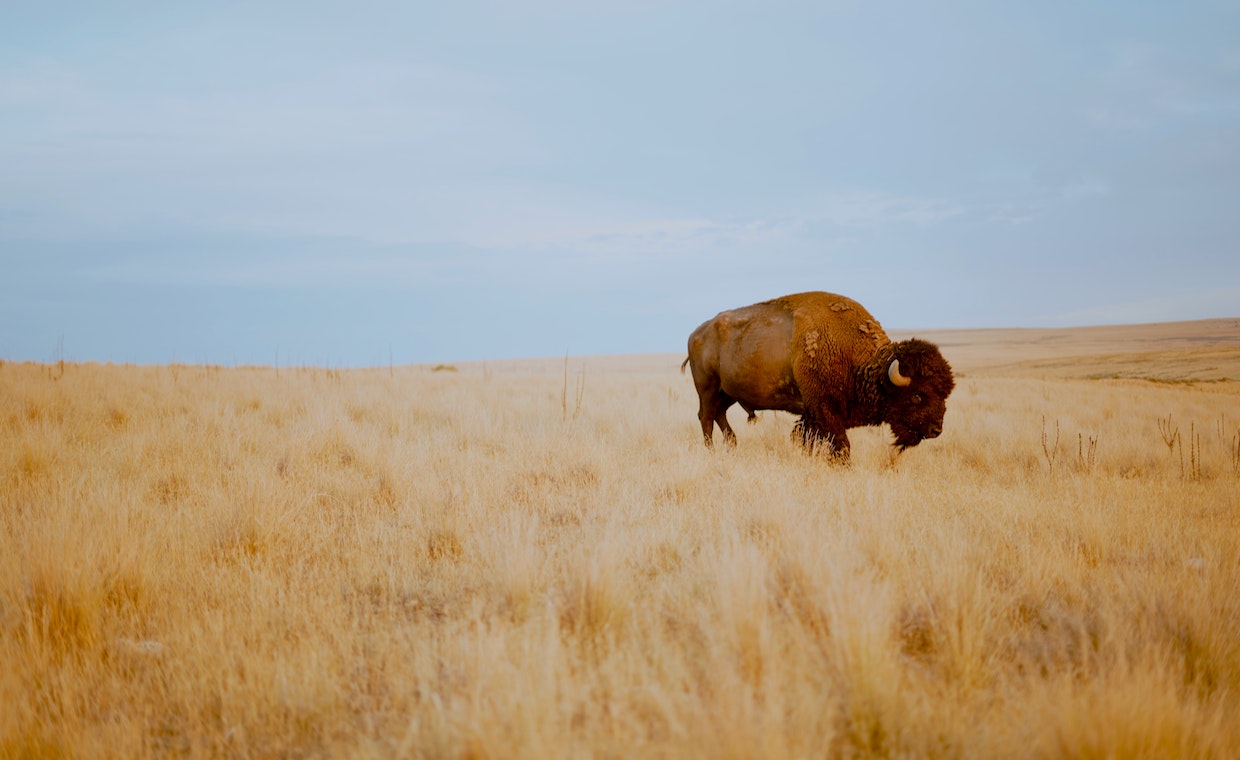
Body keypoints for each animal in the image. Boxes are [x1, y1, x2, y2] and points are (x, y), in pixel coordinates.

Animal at [681, 291, 954, 460]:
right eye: (917, 395)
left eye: (945, 394)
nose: (936, 430)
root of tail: (695, 334)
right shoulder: (824, 409)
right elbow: (841, 445)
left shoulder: (812, 415)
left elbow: (807, 439)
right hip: (708, 388)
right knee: (706, 418)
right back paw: (711, 451)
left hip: (728, 393)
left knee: (719, 415)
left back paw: (732, 445)